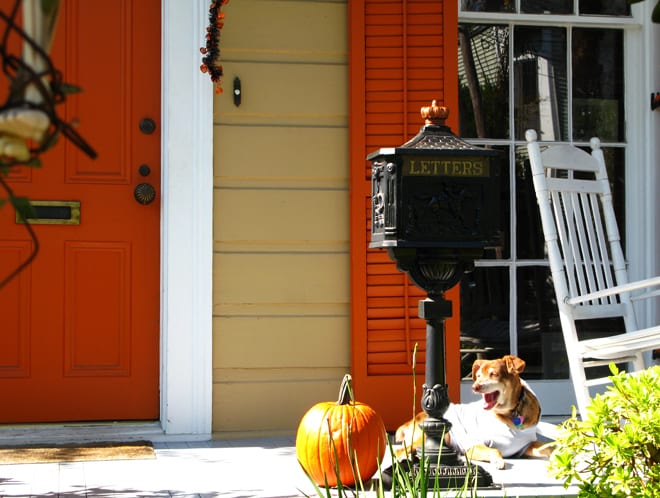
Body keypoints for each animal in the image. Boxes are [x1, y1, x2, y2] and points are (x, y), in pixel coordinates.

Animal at [394, 354, 556, 466]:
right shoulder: (473, 445)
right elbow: (495, 449)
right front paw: (498, 460)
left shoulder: (526, 446)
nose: (475, 387)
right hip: (433, 436)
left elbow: (549, 446)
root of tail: (413, 419)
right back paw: (407, 457)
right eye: (477, 376)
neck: (510, 413)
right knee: (400, 450)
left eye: (493, 374)